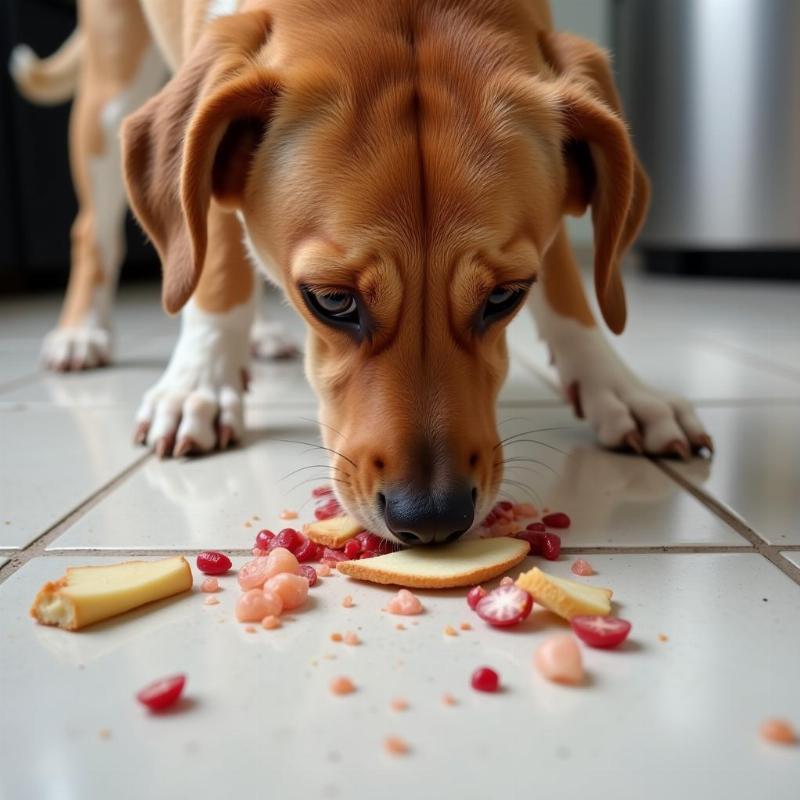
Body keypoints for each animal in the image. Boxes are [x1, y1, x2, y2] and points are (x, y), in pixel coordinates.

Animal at [12, 0, 708, 544]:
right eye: (331, 301)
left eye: (505, 297)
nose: (432, 517)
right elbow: (214, 270)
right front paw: (199, 384)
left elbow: (568, 290)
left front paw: (619, 388)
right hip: (110, 91)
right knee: (100, 232)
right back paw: (84, 334)